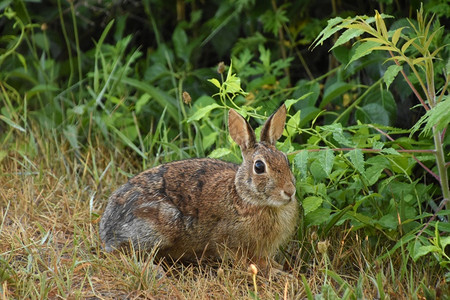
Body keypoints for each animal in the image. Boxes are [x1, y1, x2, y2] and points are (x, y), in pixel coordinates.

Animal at [100, 103, 300, 268]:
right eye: (259, 167)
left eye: (285, 160)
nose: (289, 191)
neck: (244, 197)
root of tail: (107, 228)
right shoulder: (228, 241)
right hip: (161, 222)